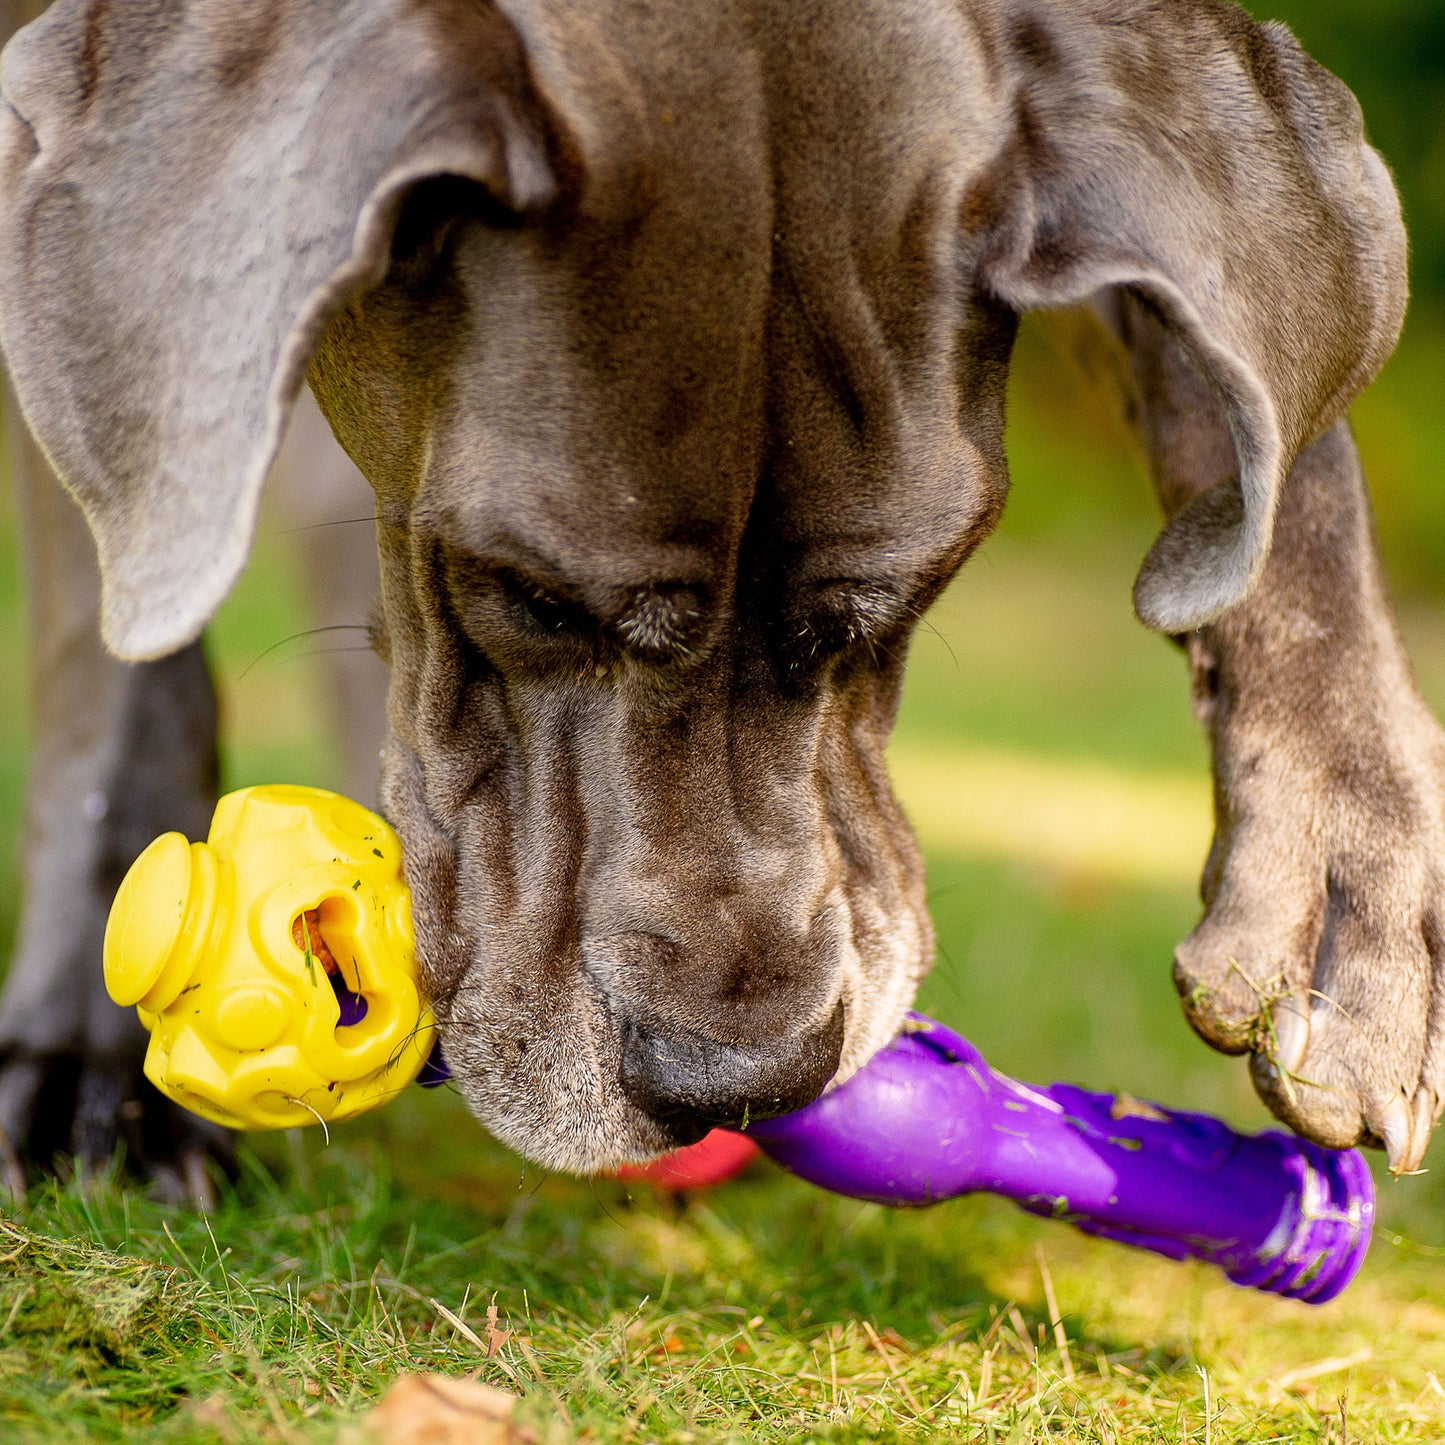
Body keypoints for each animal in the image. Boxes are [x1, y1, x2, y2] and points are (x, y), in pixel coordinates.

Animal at [0, 0, 1433, 1196]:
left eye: (911, 592)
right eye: (529, 595)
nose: (734, 1081)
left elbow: (1281, 429)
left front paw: (1346, 881)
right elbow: (128, 613)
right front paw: (99, 1048)